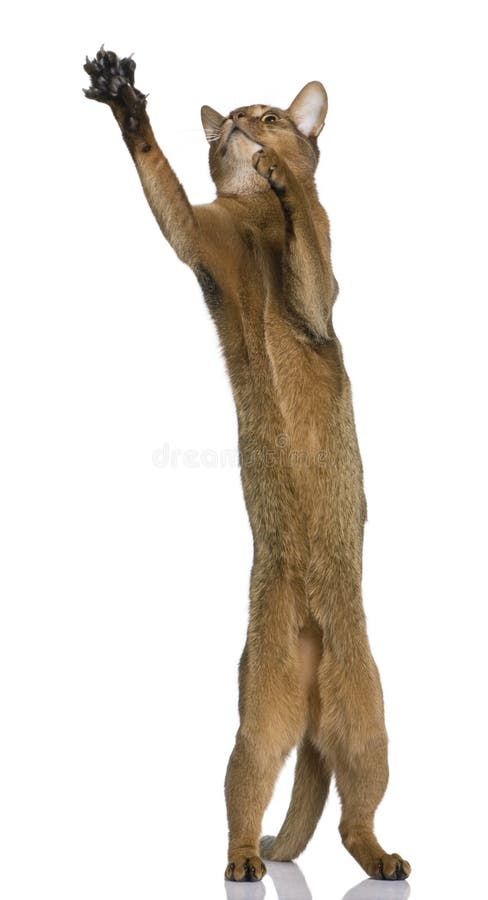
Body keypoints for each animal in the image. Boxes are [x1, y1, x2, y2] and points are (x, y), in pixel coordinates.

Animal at [85, 45, 412, 884]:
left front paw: (283, 174)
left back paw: (383, 859)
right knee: (256, 799)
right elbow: (162, 179)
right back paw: (244, 862)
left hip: (369, 728)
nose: (236, 123)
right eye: (229, 118)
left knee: (352, 819)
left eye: (266, 114)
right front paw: (124, 100)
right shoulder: (197, 240)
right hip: (257, 724)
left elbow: (304, 244)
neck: (255, 217)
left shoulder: (319, 295)